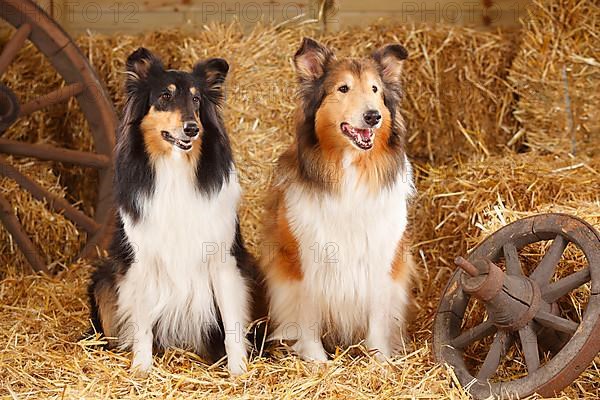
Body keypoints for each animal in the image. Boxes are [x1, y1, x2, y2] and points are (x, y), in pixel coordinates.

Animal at [88, 47, 256, 376]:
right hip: (104, 280)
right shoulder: (141, 262)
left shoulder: (224, 261)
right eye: (165, 96)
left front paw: (238, 371)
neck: (175, 169)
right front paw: (141, 369)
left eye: (196, 100)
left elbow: (232, 323)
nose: (192, 128)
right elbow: (141, 325)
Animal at [260, 39, 414, 360]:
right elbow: (308, 314)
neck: (350, 168)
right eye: (343, 88)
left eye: (374, 89)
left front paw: (380, 359)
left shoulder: (381, 255)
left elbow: (378, 315)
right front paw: (315, 360)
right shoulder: (305, 258)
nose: (373, 116)